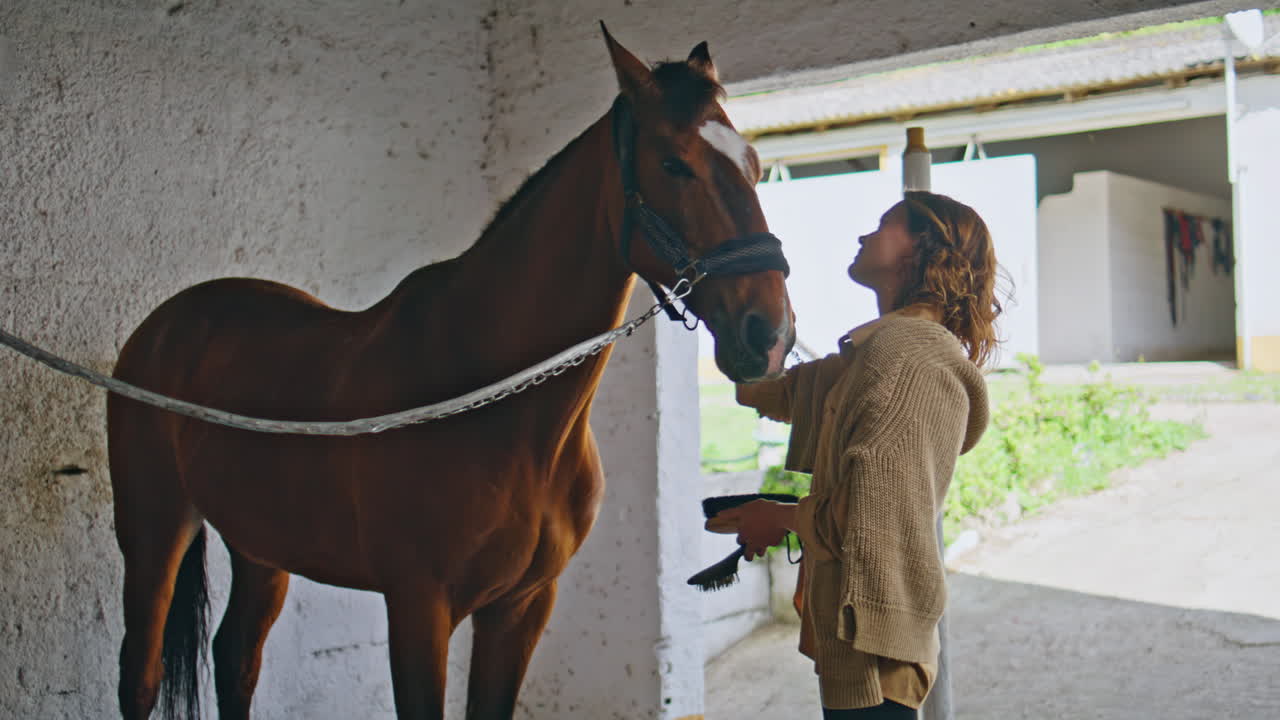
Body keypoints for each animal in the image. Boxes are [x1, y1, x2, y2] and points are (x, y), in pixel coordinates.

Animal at [107, 25, 794, 720]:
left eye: (753, 164)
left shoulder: (521, 607)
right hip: (155, 530)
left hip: (261, 547)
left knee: (236, 657)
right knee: (141, 673)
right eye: (673, 164)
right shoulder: (418, 605)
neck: (503, 412)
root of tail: (166, 325)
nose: (769, 334)